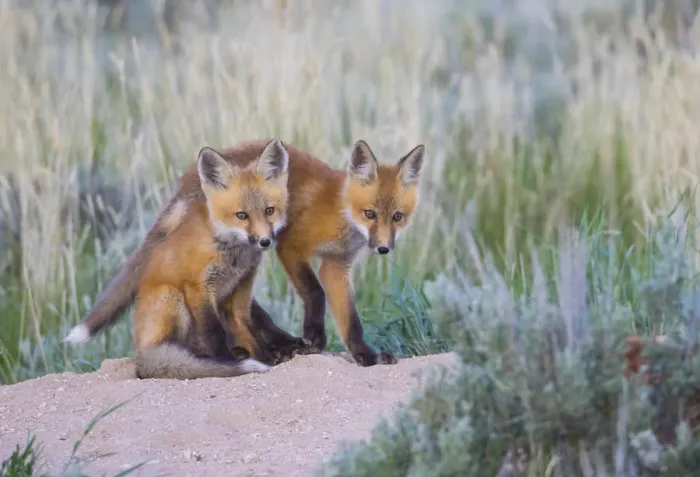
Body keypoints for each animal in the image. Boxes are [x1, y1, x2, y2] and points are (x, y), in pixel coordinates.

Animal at [64, 139, 305, 378]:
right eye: (241, 215)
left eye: (269, 211)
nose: (265, 241)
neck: (232, 253)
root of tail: (140, 354)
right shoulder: (198, 286)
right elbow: (213, 331)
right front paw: (227, 361)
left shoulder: (241, 285)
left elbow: (244, 324)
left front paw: (261, 354)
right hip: (172, 296)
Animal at [245, 139, 427, 367]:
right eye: (370, 214)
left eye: (397, 216)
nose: (383, 248)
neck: (342, 215)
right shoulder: (291, 247)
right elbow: (315, 291)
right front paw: (315, 338)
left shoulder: (336, 264)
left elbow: (350, 319)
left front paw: (365, 354)